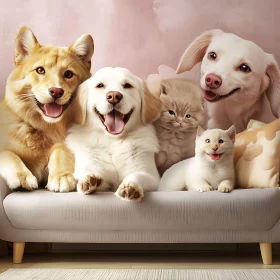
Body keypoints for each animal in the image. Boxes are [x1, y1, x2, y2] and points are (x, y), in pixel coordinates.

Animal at [0, 26, 94, 191]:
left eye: (68, 74)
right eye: (40, 70)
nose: (56, 91)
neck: (45, 127)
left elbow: (61, 149)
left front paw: (61, 175)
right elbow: (8, 154)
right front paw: (21, 175)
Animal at [49, 66, 162, 200]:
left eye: (127, 85)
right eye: (100, 85)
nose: (113, 96)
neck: (112, 140)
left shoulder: (151, 176)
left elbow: (136, 175)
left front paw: (130, 187)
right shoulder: (94, 170)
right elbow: (88, 173)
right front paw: (89, 180)